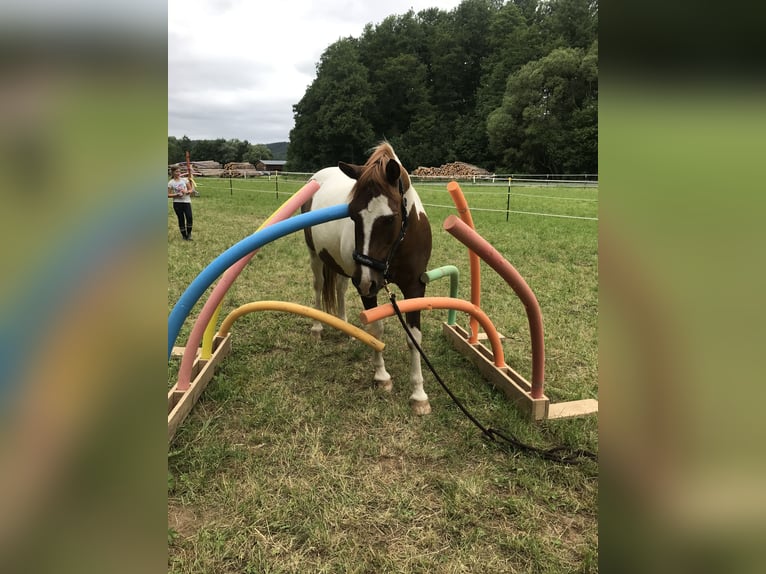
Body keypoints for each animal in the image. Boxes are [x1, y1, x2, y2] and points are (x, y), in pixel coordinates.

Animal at [300, 143, 432, 414]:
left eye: (390, 218)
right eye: (352, 215)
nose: (365, 281)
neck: (399, 245)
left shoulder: (415, 287)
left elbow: (414, 339)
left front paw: (419, 395)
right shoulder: (367, 286)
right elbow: (375, 329)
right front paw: (382, 377)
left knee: (340, 289)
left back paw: (345, 328)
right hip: (318, 258)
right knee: (318, 287)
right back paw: (317, 328)